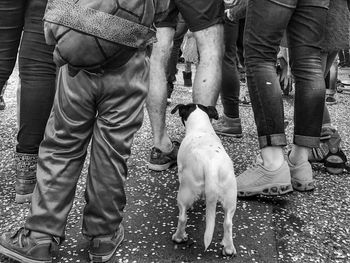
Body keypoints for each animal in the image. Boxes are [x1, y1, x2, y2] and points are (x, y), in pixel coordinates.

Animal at [170, 104, 237, 256]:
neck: (201, 128)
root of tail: (211, 165)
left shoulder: (181, 171)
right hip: (230, 198)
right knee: (228, 223)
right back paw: (228, 248)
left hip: (184, 193)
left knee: (182, 217)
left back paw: (179, 237)